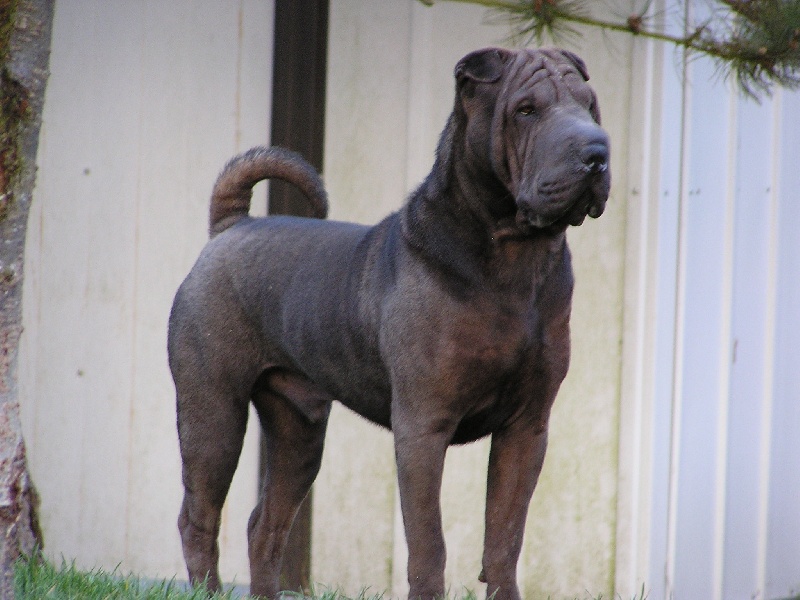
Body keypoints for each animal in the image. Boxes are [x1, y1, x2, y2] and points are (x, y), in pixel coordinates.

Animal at [167, 47, 608, 600]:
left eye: (589, 105)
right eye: (526, 110)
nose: (597, 151)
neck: (515, 259)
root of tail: (231, 227)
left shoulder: (526, 428)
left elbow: (505, 540)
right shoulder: (423, 426)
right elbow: (428, 543)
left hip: (298, 429)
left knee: (264, 525)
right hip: (214, 412)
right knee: (199, 517)